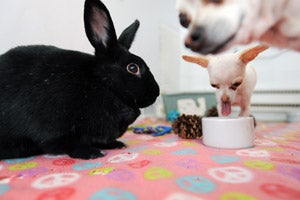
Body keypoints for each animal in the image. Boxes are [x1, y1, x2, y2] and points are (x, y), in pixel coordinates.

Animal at [0, 0, 159, 159]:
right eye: (132, 68)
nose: (156, 92)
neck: (104, 85)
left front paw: (116, 144)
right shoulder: (52, 131)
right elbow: (65, 144)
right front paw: (91, 153)